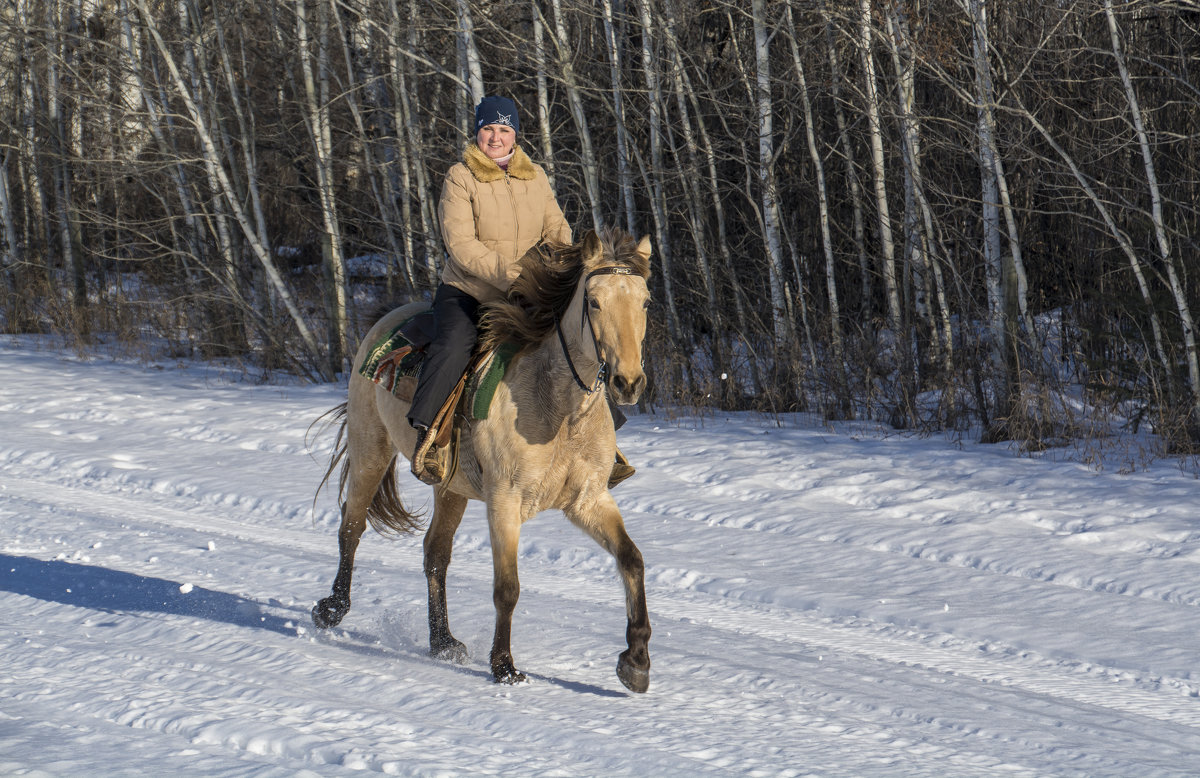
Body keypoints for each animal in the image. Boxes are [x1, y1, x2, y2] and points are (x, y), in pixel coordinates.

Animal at [307, 226, 648, 691]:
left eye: (645, 301)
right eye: (594, 301)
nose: (627, 382)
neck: (559, 412)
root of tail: (385, 321)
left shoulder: (589, 500)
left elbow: (632, 559)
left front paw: (636, 661)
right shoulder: (505, 501)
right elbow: (507, 588)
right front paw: (504, 666)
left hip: (450, 487)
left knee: (435, 554)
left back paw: (443, 641)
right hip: (370, 450)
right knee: (352, 526)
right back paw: (332, 608)